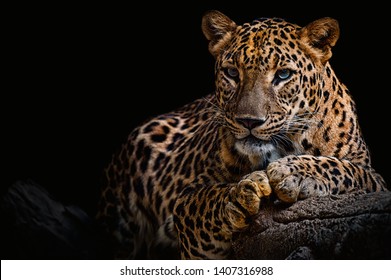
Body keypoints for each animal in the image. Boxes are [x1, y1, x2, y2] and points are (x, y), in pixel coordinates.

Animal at [95, 10, 388, 260]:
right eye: (232, 73)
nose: (248, 121)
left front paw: (293, 172)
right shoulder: (186, 200)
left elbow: (343, 168)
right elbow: (204, 201)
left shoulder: (373, 178)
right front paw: (237, 197)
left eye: (283, 74)